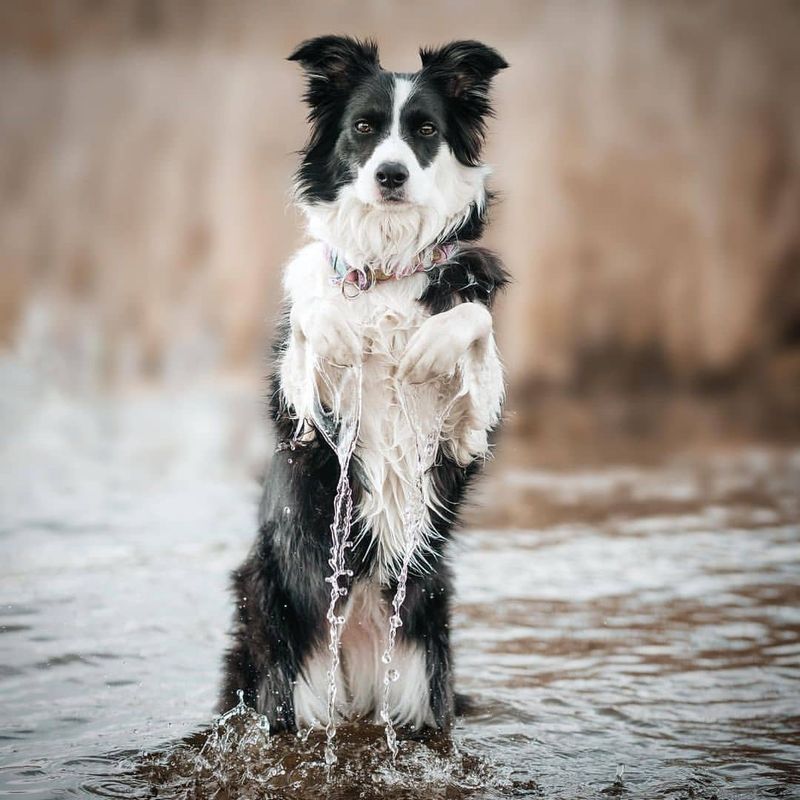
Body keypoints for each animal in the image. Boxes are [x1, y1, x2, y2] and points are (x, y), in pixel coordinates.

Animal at [220, 39, 506, 736]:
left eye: (425, 130)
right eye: (365, 128)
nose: (390, 175)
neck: (386, 266)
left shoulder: (464, 437)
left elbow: (474, 326)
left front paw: (434, 343)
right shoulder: (303, 420)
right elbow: (310, 321)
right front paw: (335, 326)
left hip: (422, 666)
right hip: (286, 675)